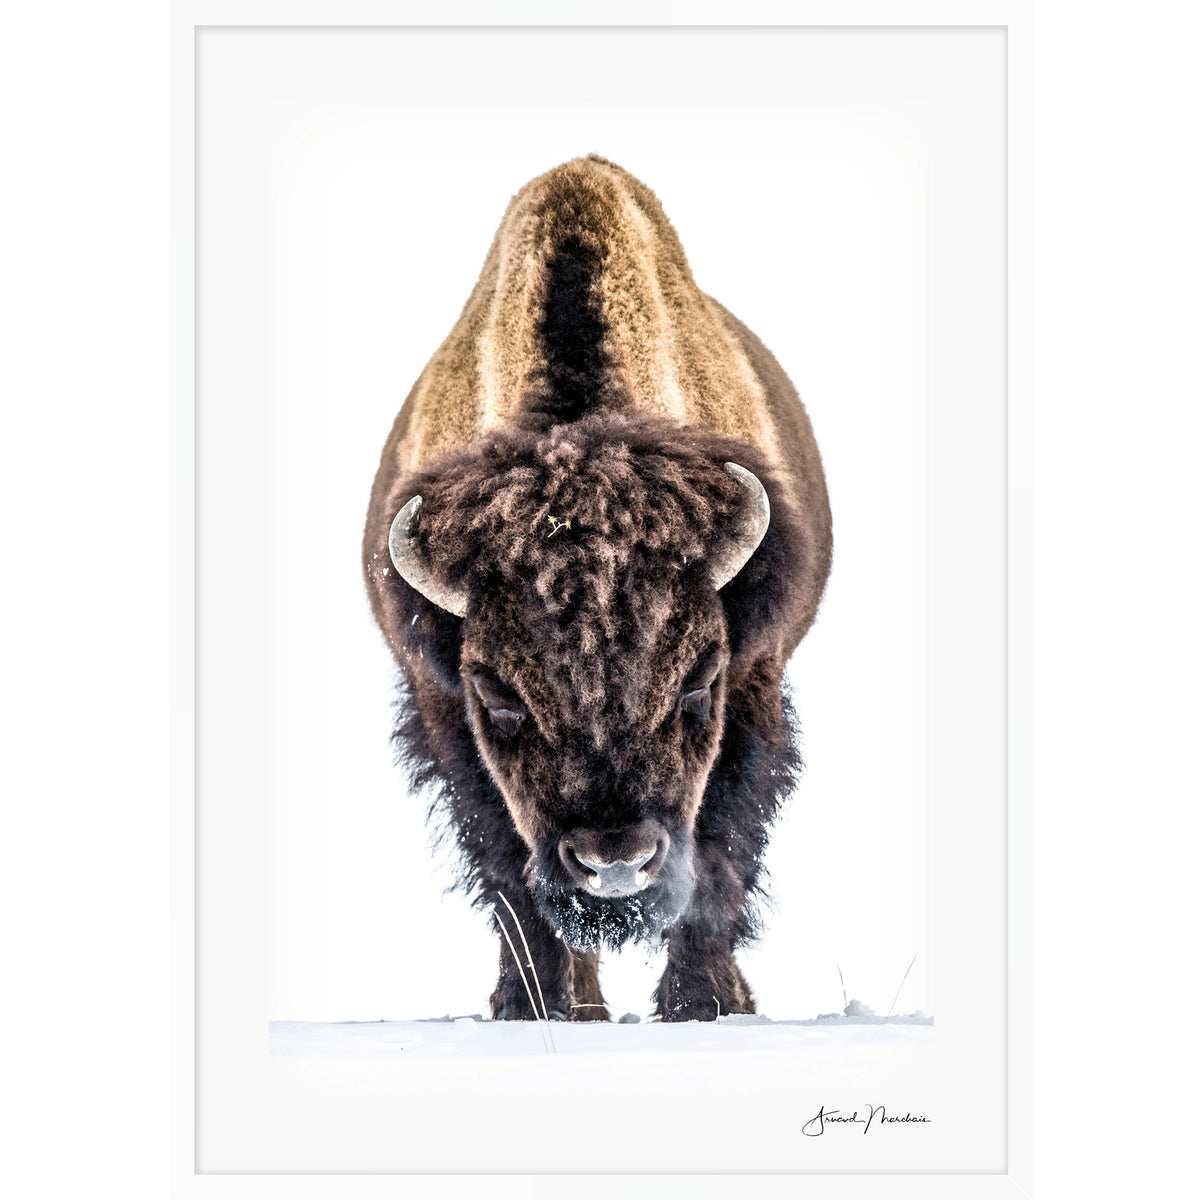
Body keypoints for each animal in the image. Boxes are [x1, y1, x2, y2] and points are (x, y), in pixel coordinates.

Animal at [363, 156, 832, 1021]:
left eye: (699, 679)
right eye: (498, 694)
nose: (615, 862)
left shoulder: (756, 679)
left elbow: (719, 854)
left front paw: (701, 1005)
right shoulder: (442, 708)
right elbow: (509, 873)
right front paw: (535, 1008)